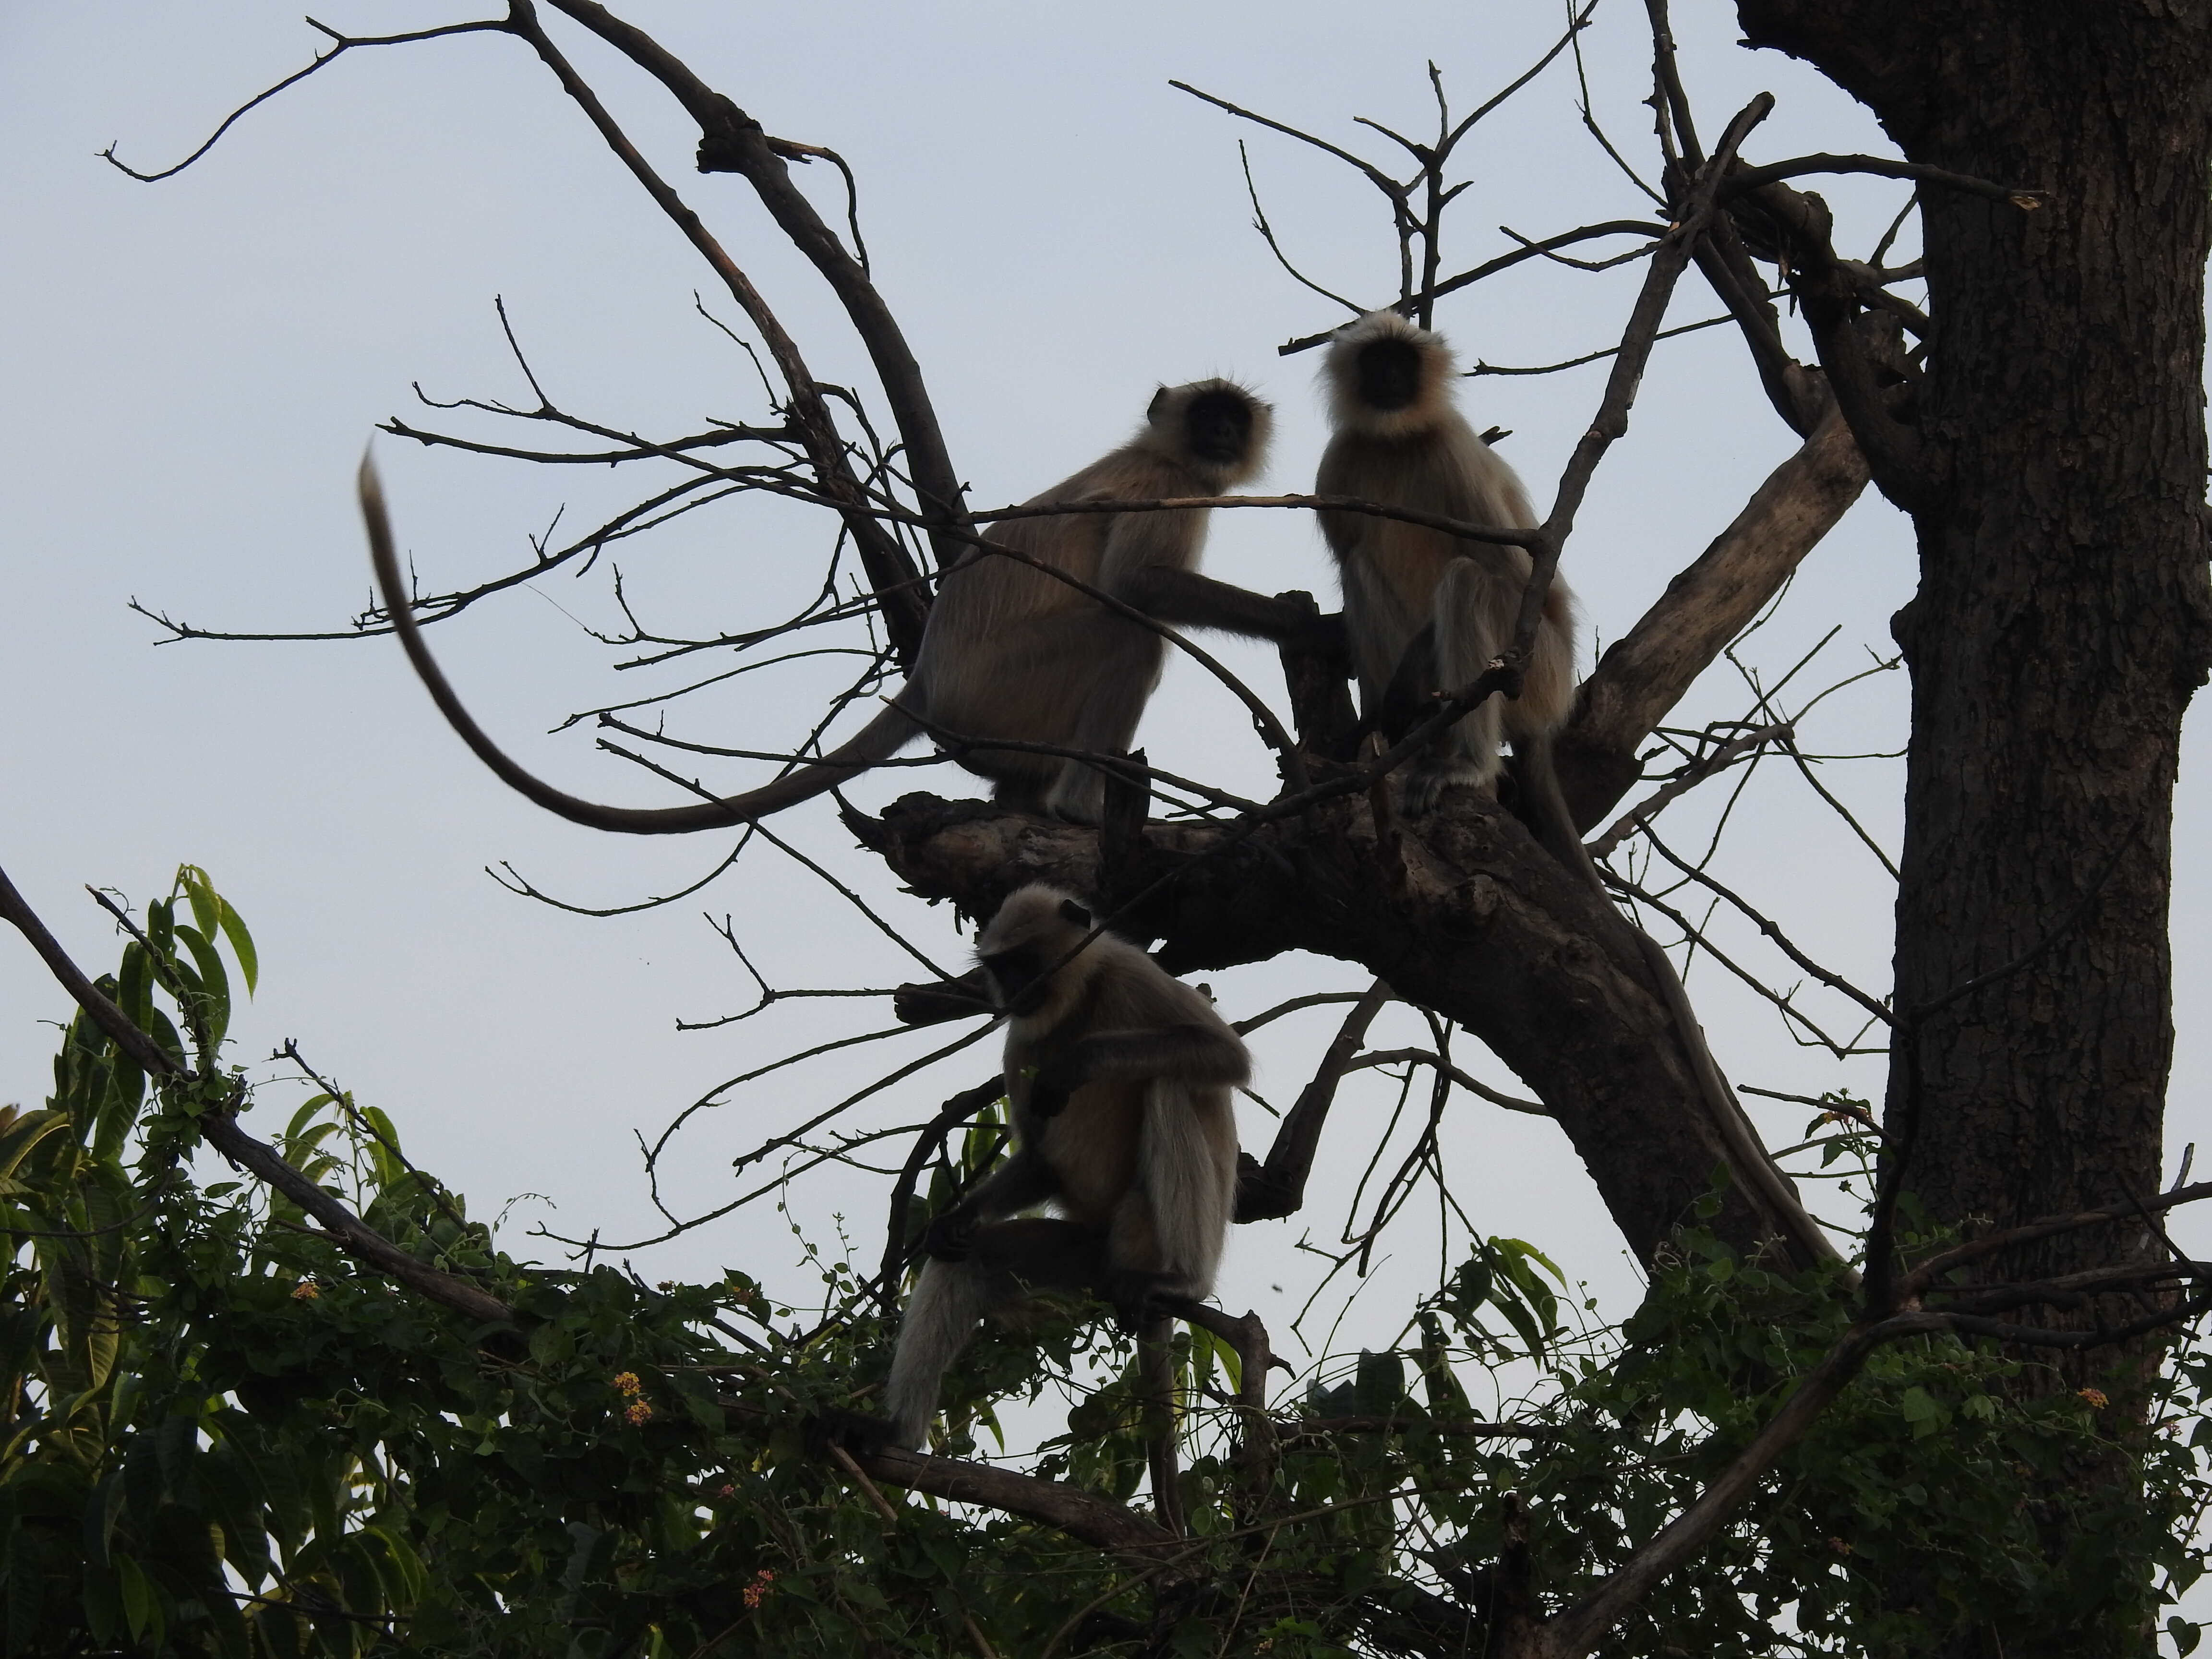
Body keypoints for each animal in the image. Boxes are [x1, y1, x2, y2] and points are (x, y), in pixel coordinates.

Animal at [358, 383, 1309, 836]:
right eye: (1207, 418)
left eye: (1231, 420)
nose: (1221, 436)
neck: (1169, 458)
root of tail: (926, 681)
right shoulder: (1167, 489)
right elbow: (1138, 591)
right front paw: (1313, 625)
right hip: (1011, 686)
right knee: (1128, 638)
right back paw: (1071, 807)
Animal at [831, 885, 1247, 1451]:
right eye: (1000, 968)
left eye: (1024, 963)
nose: (1012, 990)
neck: (1078, 1004)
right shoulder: (1020, 1040)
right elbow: (1037, 1163)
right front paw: (956, 1219)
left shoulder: (1131, 971)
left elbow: (1227, 1055)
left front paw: (1079, 1062)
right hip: (1089, 1256)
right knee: (968, 1260)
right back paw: (894, 1432)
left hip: (1149, 1227)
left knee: (1169, 1084)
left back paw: (1183, 1283)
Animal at [1309, 310, 1575, 818]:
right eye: (1376, 360)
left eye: (1404, 360)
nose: (1391, 378)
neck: (1395, 441)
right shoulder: (1335, 465)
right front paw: (1377, 717)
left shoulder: (1456, 450)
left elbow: (1519, 578)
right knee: (1358, 566)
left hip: (1543, 672)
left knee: (1471, 583)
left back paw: (1466, 763)